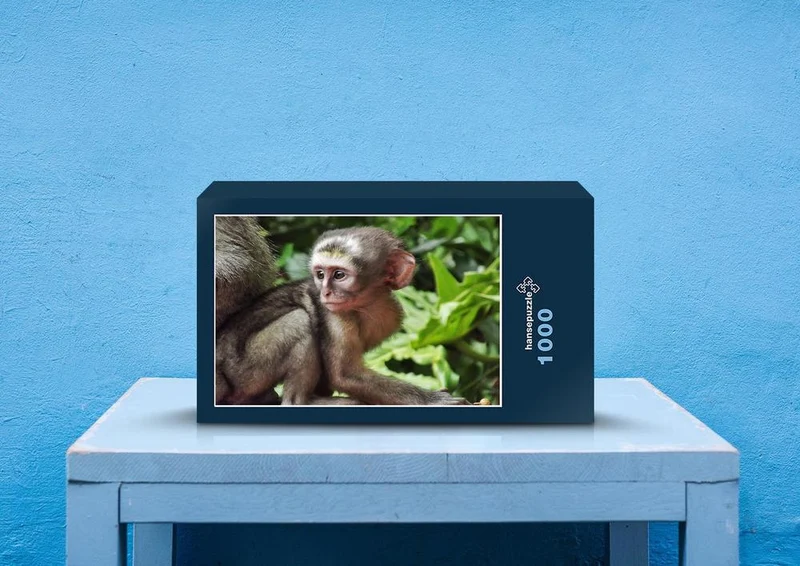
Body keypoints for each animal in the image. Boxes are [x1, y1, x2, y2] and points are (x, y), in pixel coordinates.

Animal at [215, 225, 469, 406]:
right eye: (320, 274)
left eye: (338, 275)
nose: (325, 292)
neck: (367, 306)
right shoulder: (335, 314)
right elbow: (345, 375)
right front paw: (432, 400)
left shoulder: (390, 316)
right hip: (244, 372)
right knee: (299, 320)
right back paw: (301, 402)